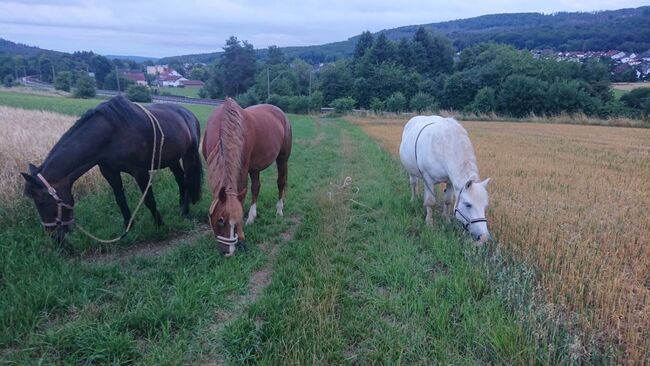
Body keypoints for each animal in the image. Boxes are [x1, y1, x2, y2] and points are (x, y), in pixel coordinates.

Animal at [21, 96, 201, 243]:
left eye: (41, 202)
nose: (55, 238)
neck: (112, 134)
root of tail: (188, 114)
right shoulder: (109, 171)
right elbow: (120, 199)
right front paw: (129, 227)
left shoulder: (140, 172)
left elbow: (149, 200)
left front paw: (160, 223)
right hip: (172, 159)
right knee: (180, 179)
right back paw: (181, 206)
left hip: (189, 154)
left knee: (187, 179)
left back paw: (185, 212)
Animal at [202, 98, 292, 256]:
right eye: (220, 220)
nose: (228, 252)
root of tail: (281, 113)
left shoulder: (242, 169)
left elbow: (241, 199)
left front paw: (242, 237)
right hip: (255, 167)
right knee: (256, 187)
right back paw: (251, 217)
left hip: (282, 158)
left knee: (281, 183)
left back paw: (279, 210)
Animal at [398, 115, 488, 243]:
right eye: (468, 205)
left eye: (485, 206)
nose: (483, 237)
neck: (445, 146)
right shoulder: (428, 179)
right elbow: (430, 202)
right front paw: (429, 223)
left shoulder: (450, 181)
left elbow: (448, 200)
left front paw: (446, 220)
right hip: (411, 172)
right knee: (414, 184)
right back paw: (414, 199)